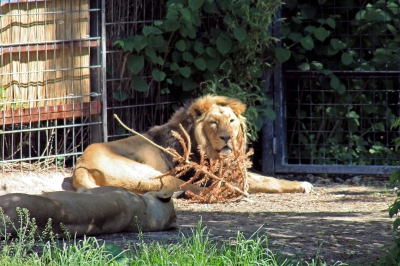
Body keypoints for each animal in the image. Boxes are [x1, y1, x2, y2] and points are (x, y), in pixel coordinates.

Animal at [73, 94, 314, 194]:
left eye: (231, 121)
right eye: (213, 122)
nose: (226, 137)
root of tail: (81, 167)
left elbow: (267, 178)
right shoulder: (216, 175)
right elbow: (268, 180)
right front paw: (302, 184)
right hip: (155, 176)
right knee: (195, 189)